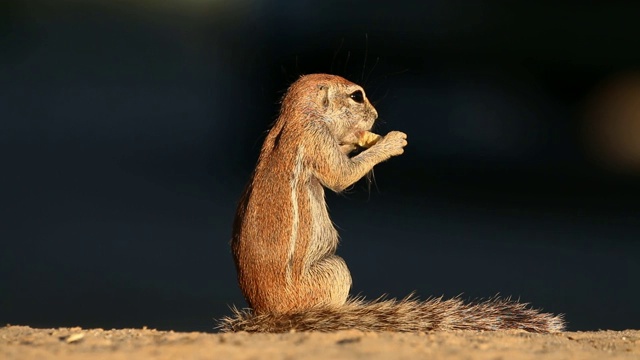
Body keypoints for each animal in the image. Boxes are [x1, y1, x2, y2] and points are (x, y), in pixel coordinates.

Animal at [221, 74, 564, 334]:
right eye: (357, 96)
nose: (375, 115)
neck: (299, 115)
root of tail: (270, 313)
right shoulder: (316, 138)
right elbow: (341, 176)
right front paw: (390, 141)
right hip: (333, 271)